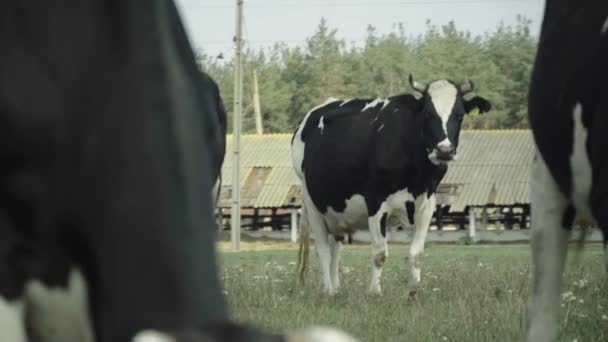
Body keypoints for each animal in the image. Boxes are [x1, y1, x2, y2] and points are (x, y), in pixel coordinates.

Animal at [292, 76, 492, 296]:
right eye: (428, 113)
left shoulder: (427, 205)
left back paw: (336, 290)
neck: (416, 176)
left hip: (336, 210)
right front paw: (374, 293)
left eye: (459, 115)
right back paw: (327, 291)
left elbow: (417, 254)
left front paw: (414, 292)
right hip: (312, 203)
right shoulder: (376, 202)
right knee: (323, 250)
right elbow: (379, 253)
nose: (445, 150)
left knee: (335, 248)